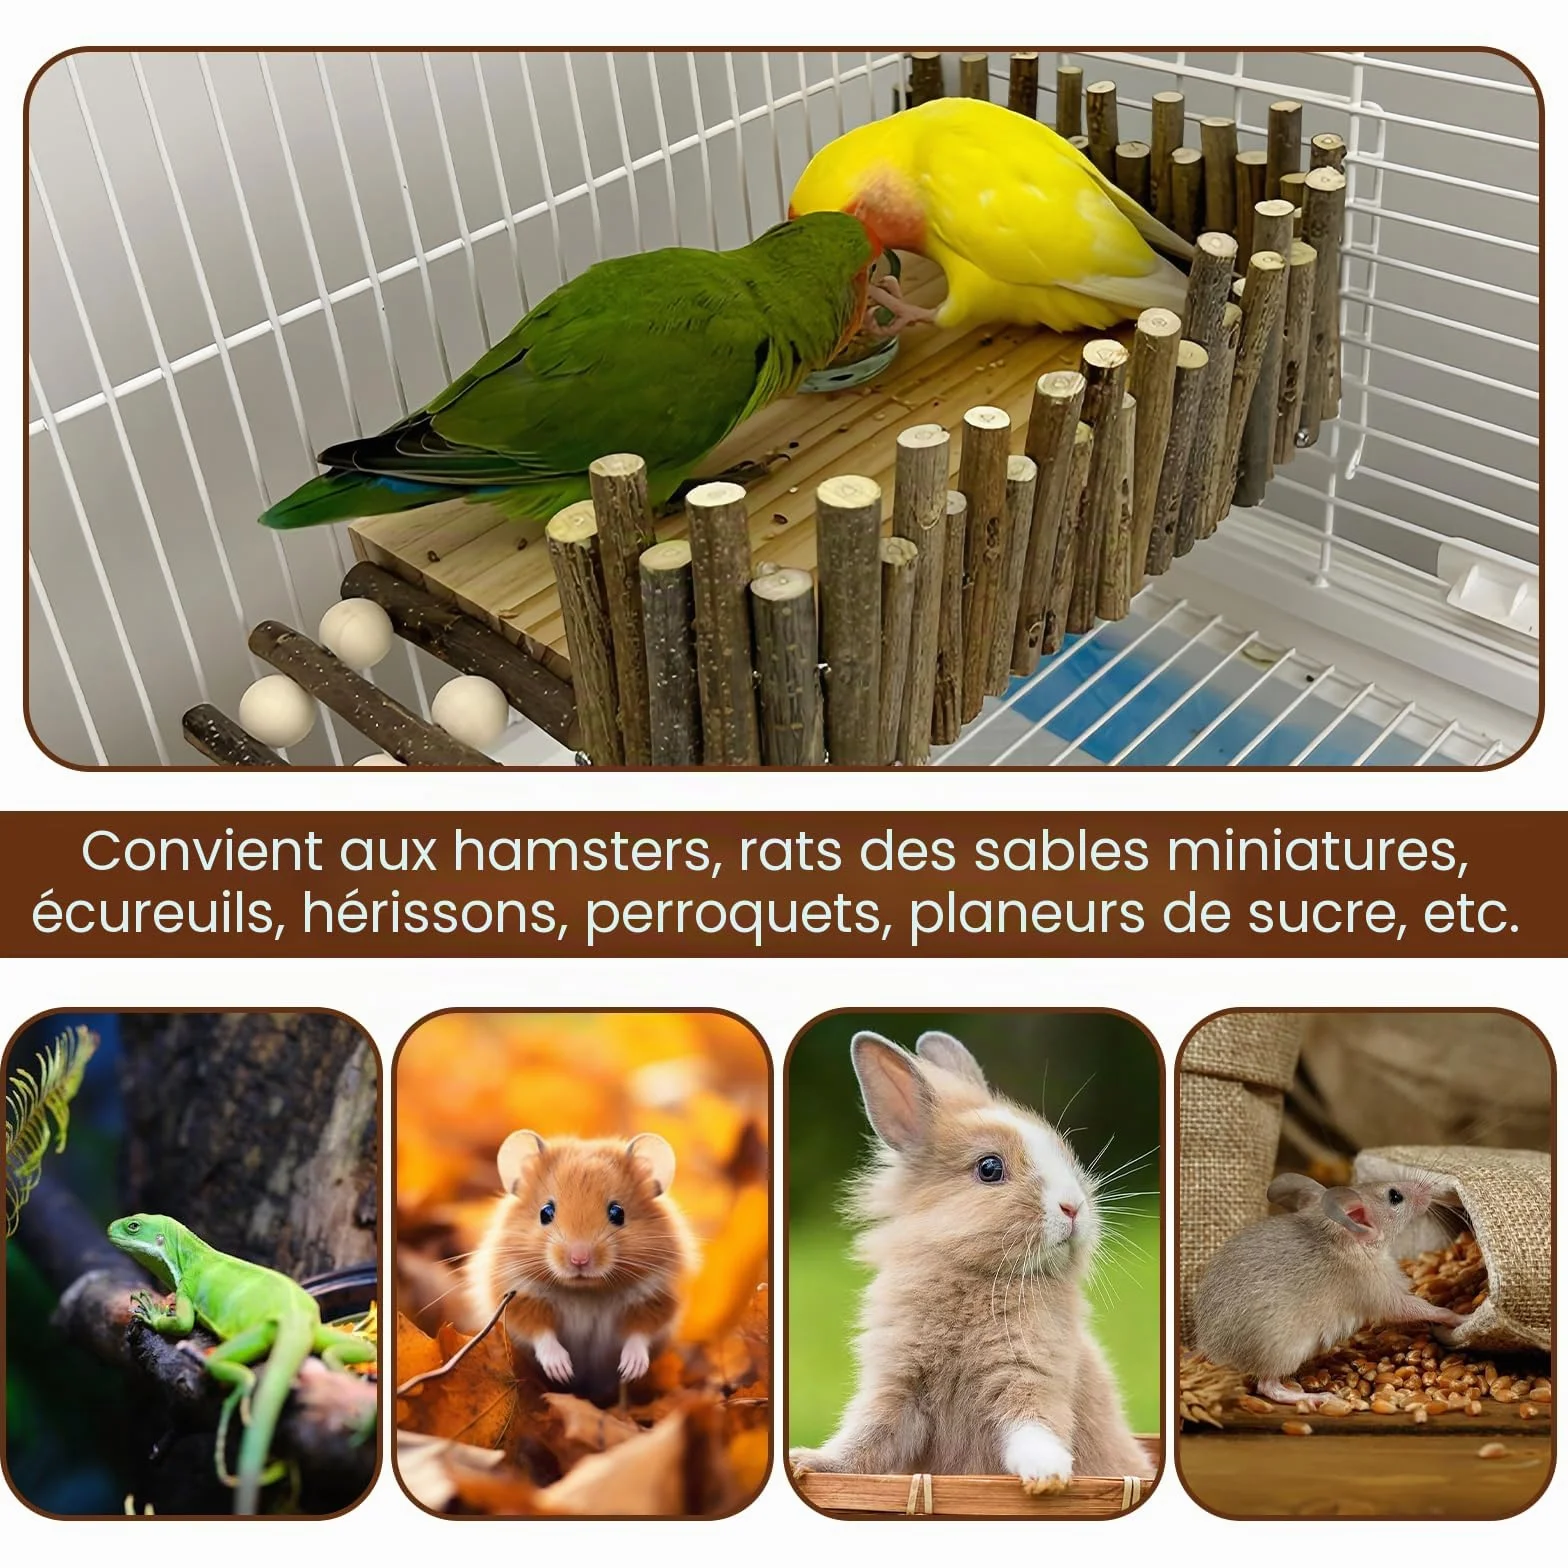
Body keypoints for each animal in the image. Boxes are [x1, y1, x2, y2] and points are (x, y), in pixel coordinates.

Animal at [466, 1130, 696, 1406]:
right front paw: (563, 1371)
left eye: (618, 1213)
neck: (586, 1290)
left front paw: (630, 1369)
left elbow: (639, 1332)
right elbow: (540, 1332)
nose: (579, 1259)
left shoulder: (656, 1296)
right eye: (546, 1212)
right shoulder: (520, 1296)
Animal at [789, 1030, 1148, 1494]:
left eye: (1067, 1156)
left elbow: (1035, 1427)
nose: (1073, 1208)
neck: (973, 1276)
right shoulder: (896, 1390)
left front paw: (1048, 1477)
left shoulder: (1030, 1375)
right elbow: (864, 1441)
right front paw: (809, 1461)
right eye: (989, 1168)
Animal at [1192, 1171, 1470, 1408]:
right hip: (1285, 1352)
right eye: (1395, 1197)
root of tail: (1211, 1347)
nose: (1431, 1187)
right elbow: (1421, 1308)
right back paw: (1316, 1397)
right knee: (1268, 1387)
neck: (1344, 1238)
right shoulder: (1382, 1292)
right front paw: (1461, 1316)